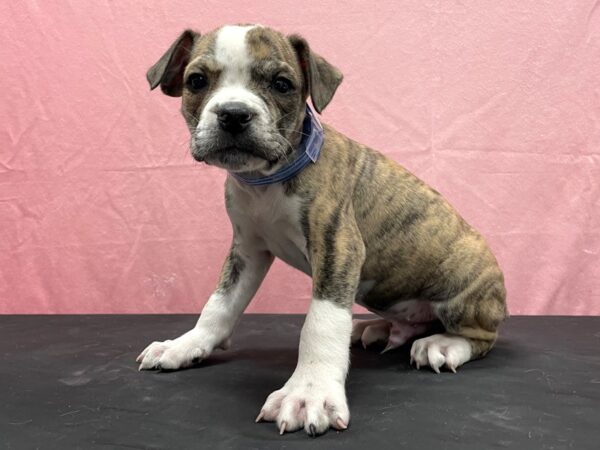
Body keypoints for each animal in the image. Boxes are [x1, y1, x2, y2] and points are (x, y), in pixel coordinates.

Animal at [138, 23, 508, 436]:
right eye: (197, 81)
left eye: (282, 84)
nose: (234, 114)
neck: (265, 180)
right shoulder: (247, 252)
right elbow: (219, 304)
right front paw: (187, 345)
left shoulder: (338, 247)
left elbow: (321, 322)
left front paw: (308, 393)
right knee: (412, 321)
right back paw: (378, 328)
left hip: (462, 289)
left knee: (480, 336)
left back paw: (442, 345)